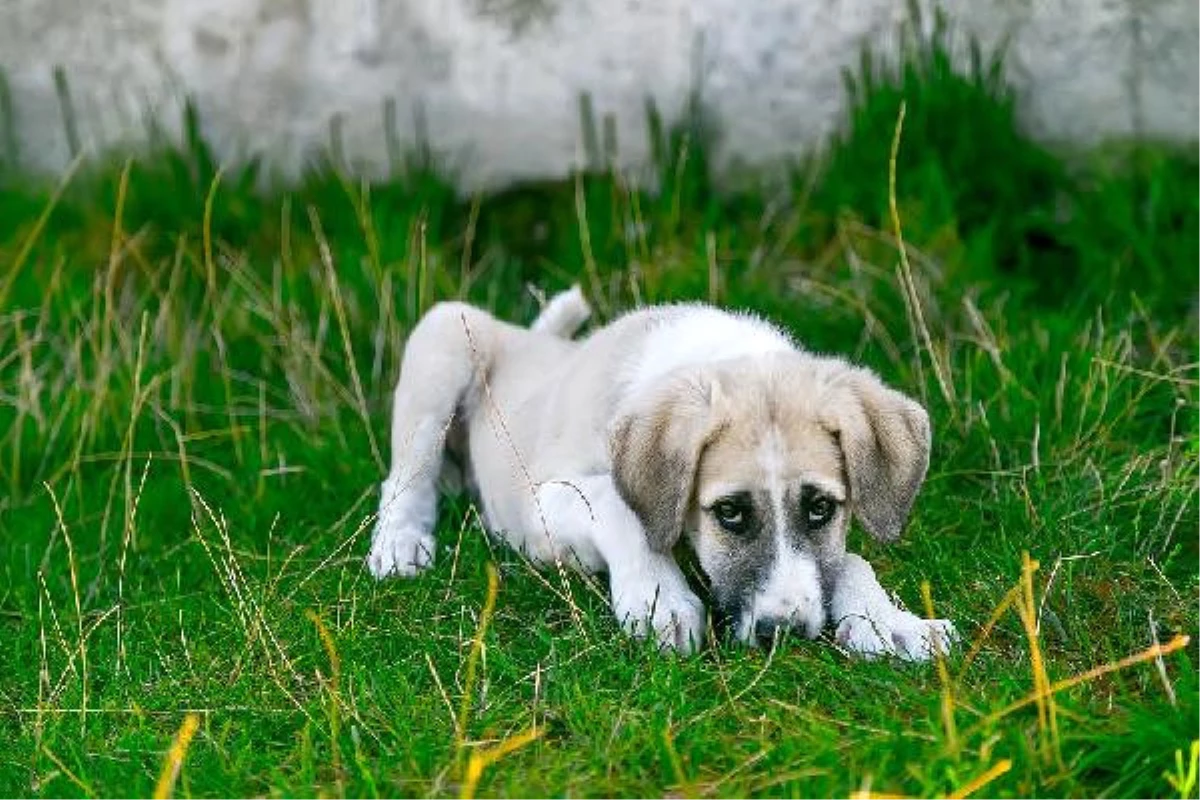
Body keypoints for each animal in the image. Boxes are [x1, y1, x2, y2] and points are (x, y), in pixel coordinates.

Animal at [364, 291, 955, 662]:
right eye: (729, 512)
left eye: (821, 508)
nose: (783, 633)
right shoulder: (544, 505)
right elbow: (619, 506)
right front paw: (658, 599)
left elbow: (849, 559)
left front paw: (890, 621)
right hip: (444, 335)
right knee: (405, 475)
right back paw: (400, 542)